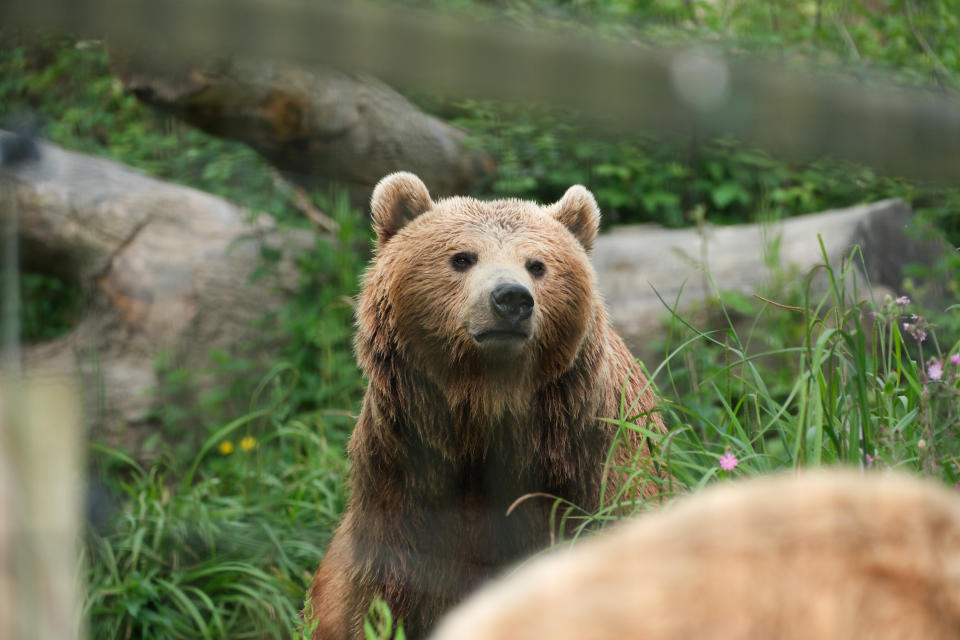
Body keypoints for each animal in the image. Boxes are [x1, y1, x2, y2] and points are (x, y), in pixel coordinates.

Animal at [308, 172, 668, 636]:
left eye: (537, 264)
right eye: (462, 258)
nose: (511, 299)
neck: (485, 410)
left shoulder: (593, 457)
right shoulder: (405, 476)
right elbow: (392, 590)